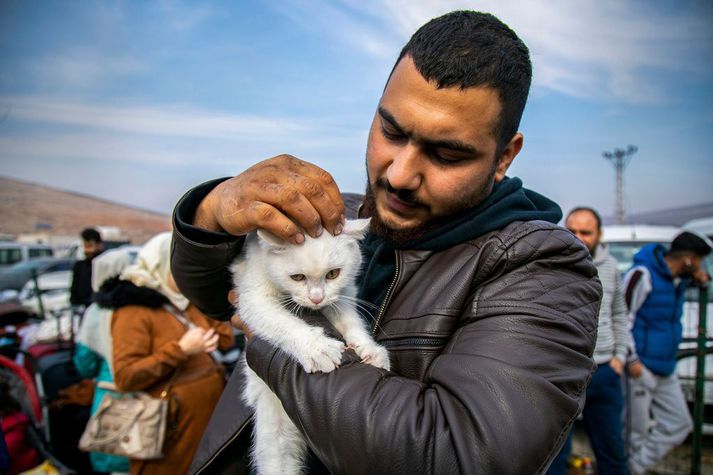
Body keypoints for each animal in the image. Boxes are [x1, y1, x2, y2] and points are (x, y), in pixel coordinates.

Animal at [232, 219, 390, 475]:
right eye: (297, 277)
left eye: (333, 274)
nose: (317, 299)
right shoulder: (253, 298)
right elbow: (283, 323)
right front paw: (317, 348)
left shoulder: (343, 294)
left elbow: (350, 319)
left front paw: (369, 349)